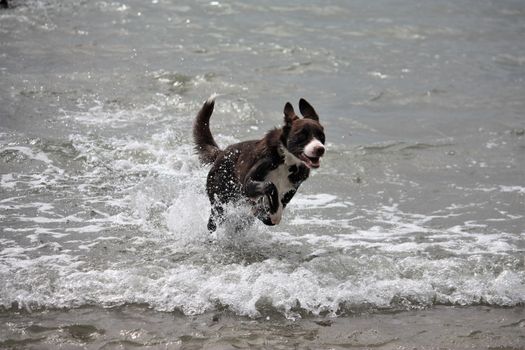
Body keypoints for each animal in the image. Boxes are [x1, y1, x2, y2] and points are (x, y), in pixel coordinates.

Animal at [192, 97, 324, 231]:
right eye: (302, 135)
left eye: (321, 136)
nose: (320, 149)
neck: (286, 161)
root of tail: (221, 153)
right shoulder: (248, 184)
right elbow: (271, 186)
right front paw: (273, 213)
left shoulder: (292, 187)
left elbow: (277, 204)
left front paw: (270, 213)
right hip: (220, 200)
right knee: (213, 220)